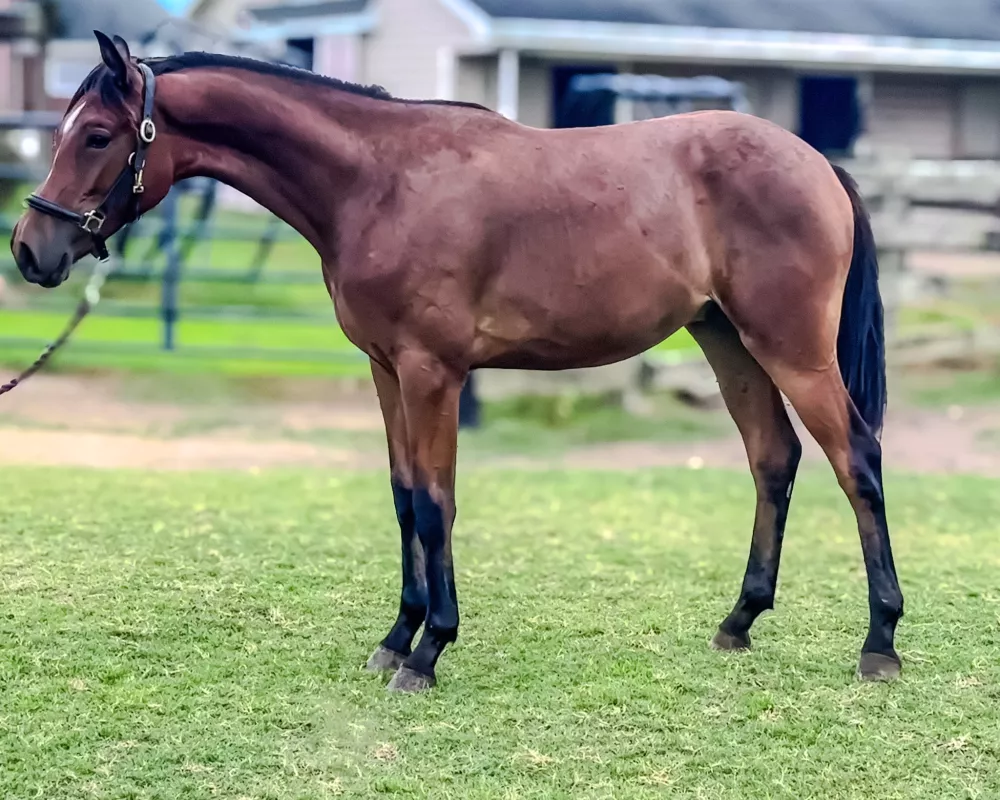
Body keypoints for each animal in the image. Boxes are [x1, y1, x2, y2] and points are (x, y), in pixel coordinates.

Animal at [9, 34, 900, 692]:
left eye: (97, 135)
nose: (30, 250)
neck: (377, 182)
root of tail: (817, 162)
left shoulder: (433, 371)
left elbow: (437, 504)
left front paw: (430, 651)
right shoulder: (386, 370)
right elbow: (405, 498)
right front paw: (396, 637)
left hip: (792, 350)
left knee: (857, 461)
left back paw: (880, 644)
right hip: (728, 341)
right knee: (773, 459)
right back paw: (739, 622)